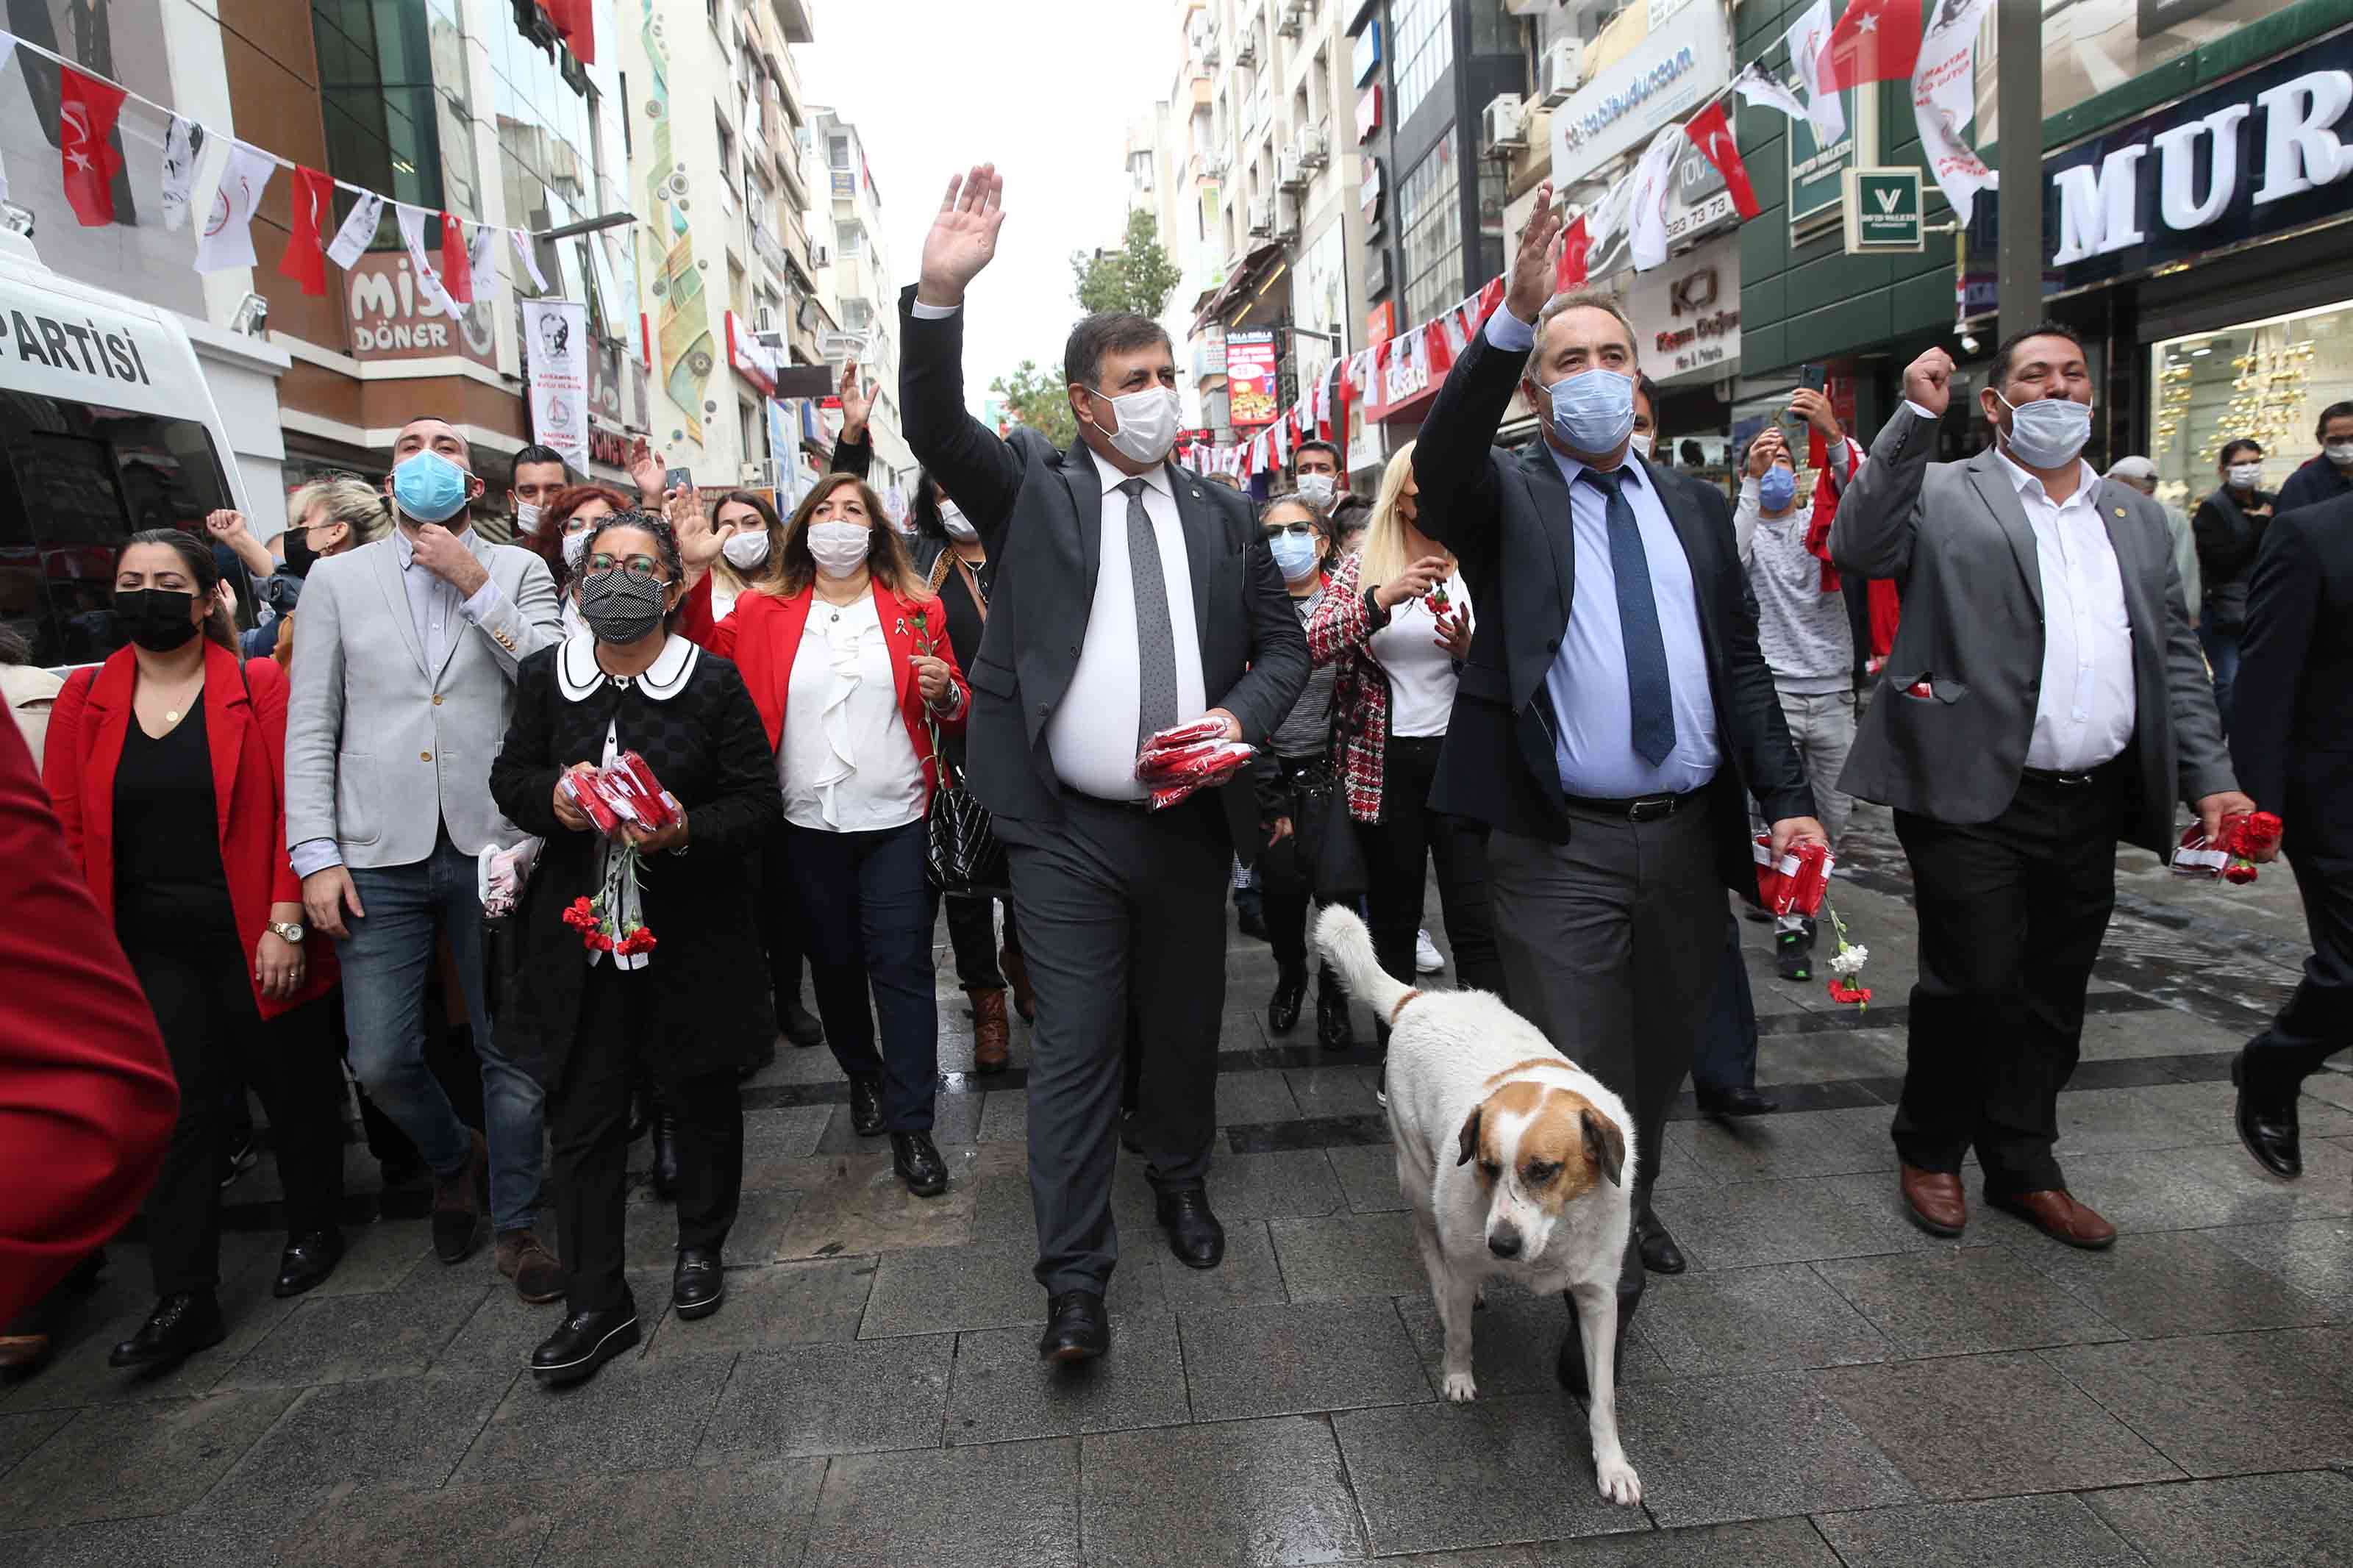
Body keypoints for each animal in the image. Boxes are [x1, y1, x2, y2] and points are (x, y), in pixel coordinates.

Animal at [1318, 907, 1647, 1504]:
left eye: (1545, 1170)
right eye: (1489, 1167)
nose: (1502, 1244)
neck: (1550, 1241)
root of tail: (1418, 1001)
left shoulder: (1598, 1296)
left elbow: (1604, 1396)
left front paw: (1612, 1463)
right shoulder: (1467, 1244)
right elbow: (1459, 1333)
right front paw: (1457, 1373)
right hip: (1417, 1174)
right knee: (1432, 1247)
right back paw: (1448, 1289)